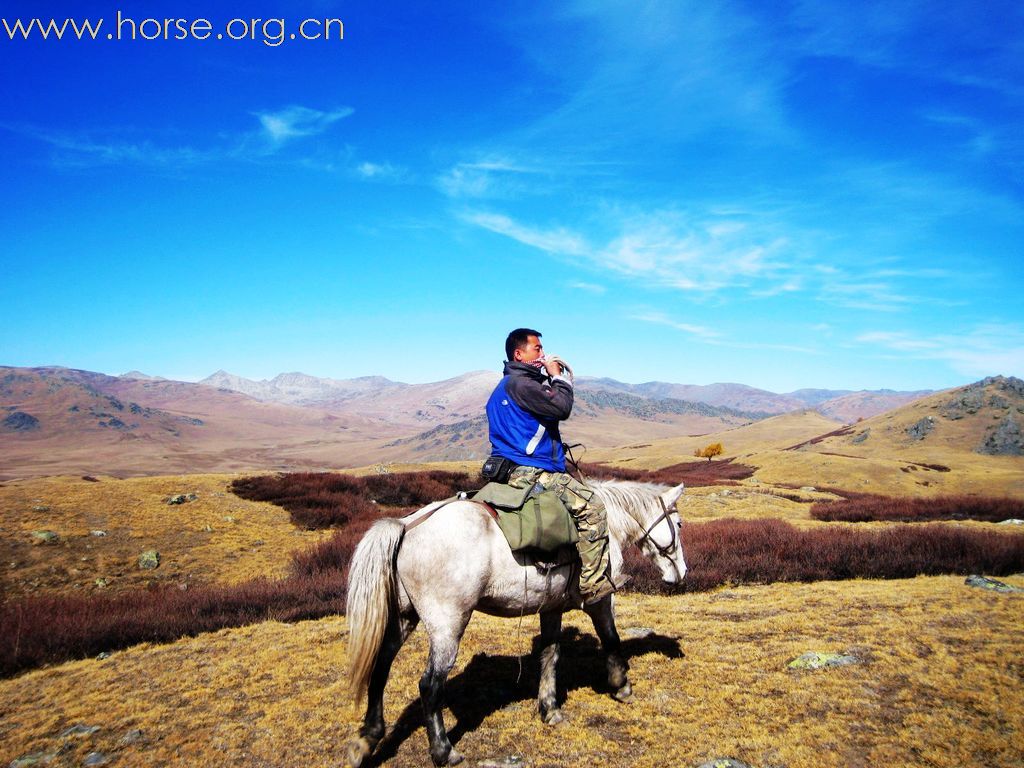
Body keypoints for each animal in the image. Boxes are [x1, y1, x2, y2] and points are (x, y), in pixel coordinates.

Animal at [344, 479, 688, 765]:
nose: (681, 574)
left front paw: (549, 709)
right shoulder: (600, 600)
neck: (610, 525)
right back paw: (444, 751)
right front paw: (621, 685)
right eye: (679, 524)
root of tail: (405, 526)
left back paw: (368, 739)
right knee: (430, 685)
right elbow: (611, 638)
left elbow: (550, 655)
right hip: (447, 625)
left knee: (380, 667)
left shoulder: (552, 607)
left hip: (404, 618)